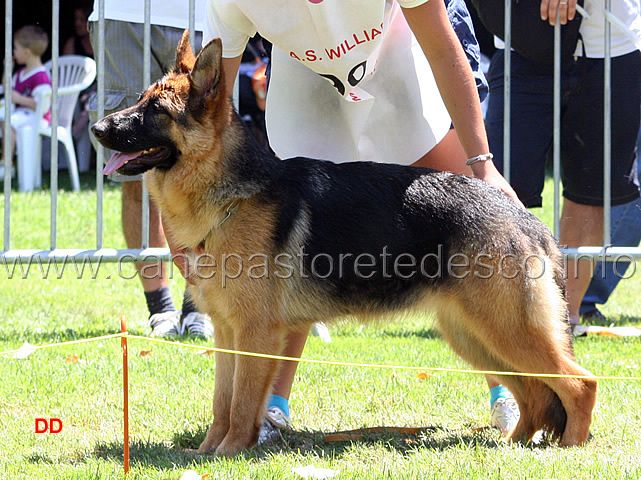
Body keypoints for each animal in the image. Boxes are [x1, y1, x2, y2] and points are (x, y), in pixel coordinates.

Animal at [92, 31, 596, 456]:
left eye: (156, 110)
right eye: (139, 100)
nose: (97, 128)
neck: (231, 194)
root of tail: (527, 221)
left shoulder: (255, 334)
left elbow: (241, 403)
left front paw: (230, 453)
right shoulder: (227, 332)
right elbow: (222, 402)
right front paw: (207, 451)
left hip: (508, 330)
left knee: (579, 383)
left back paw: (571, 448)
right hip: (475, 335)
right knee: (535, 392)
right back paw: (515, 443)